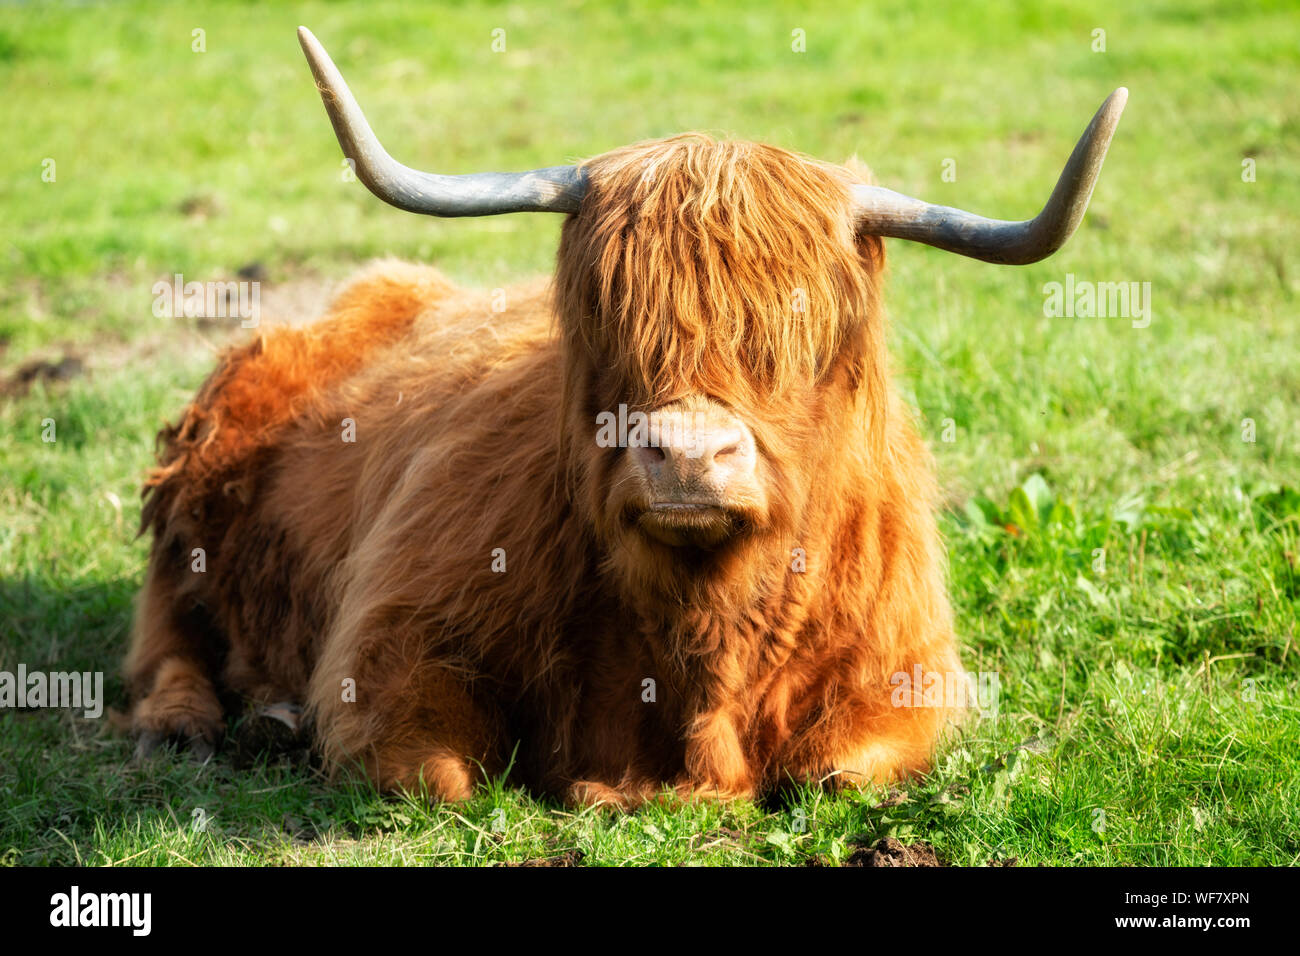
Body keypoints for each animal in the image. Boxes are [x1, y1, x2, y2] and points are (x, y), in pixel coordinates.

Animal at [122, 27, 1123, 806]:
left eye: (800, 336)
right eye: (610, 319)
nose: (686, 458)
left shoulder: (903, 674)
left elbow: (840, 774)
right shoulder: (393, 639)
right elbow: (439, 776)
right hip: (191, 512)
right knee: (165, 640)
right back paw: (208, 721)